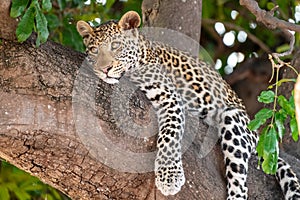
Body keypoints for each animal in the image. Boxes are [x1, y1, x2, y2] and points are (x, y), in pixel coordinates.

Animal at [77, 11, 300, 200]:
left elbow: (170, 134)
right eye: (94, 51)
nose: (104, 69)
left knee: (239, 182)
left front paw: (170, 178)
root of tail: (256, 136)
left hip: (235, 120)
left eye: (115, 46)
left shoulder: (169, 95)